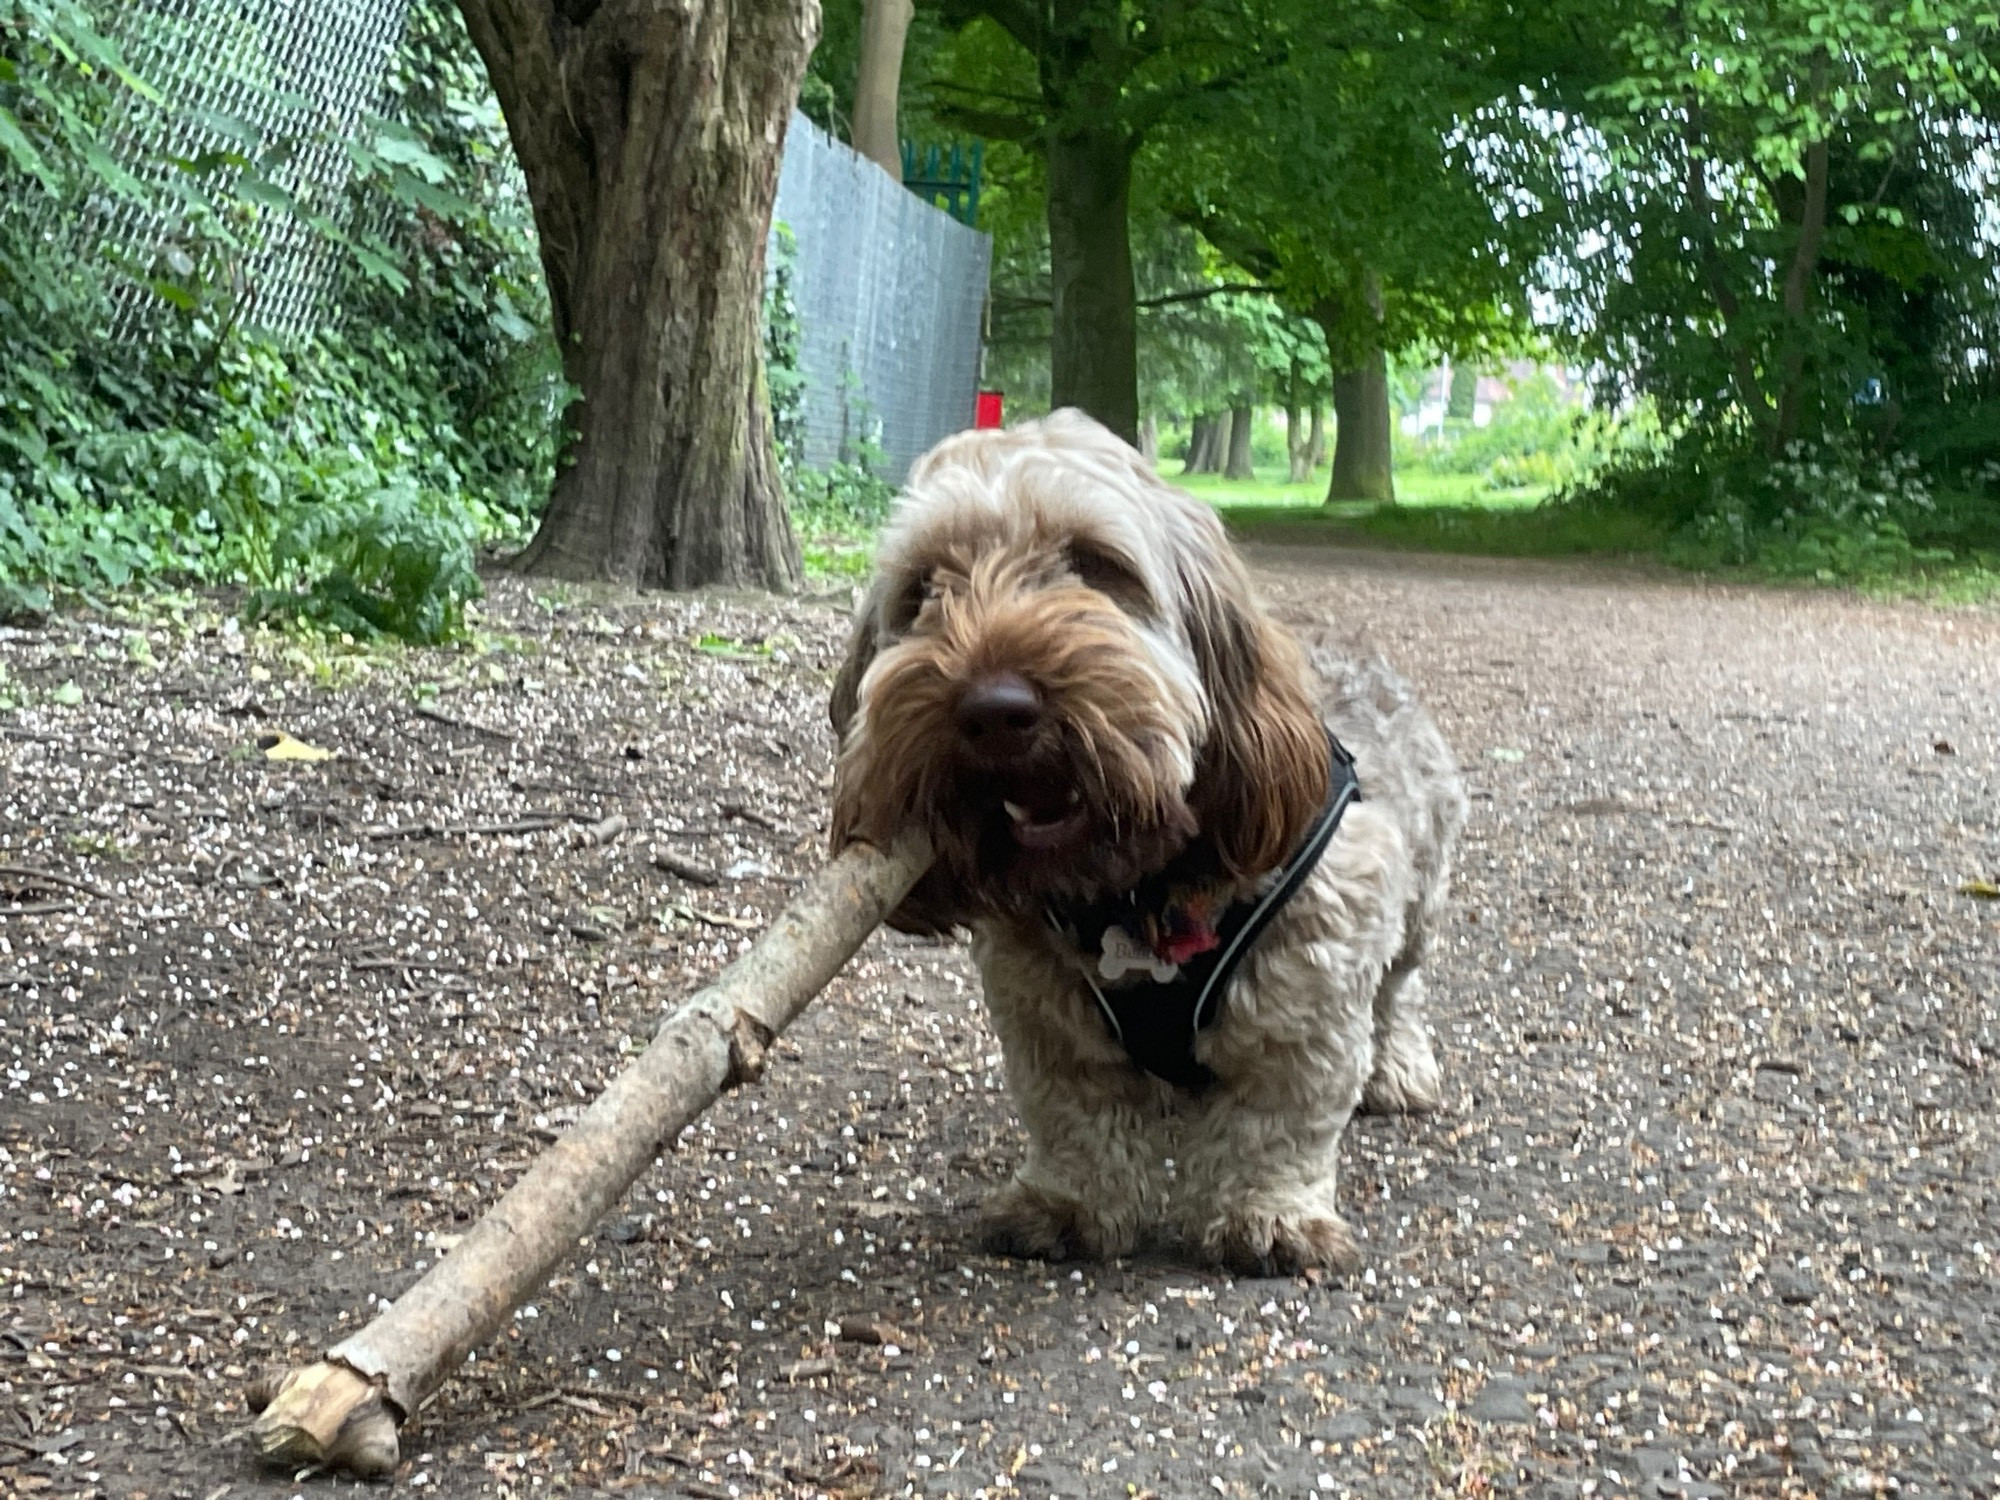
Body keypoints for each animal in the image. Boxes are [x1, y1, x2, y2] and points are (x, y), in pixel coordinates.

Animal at [828, 412, 1472, 1280]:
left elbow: (1282, 1114)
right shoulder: (1044, 1012)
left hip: (1419, 892)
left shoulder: (1312, 979)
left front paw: (1270, 1213)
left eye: (1097, 565)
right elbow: (1075, 1114)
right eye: (925, 587)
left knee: (1400, 989)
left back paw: (1398, 1066)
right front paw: (1071, 1202)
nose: (993, 708)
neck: (1135, 885)